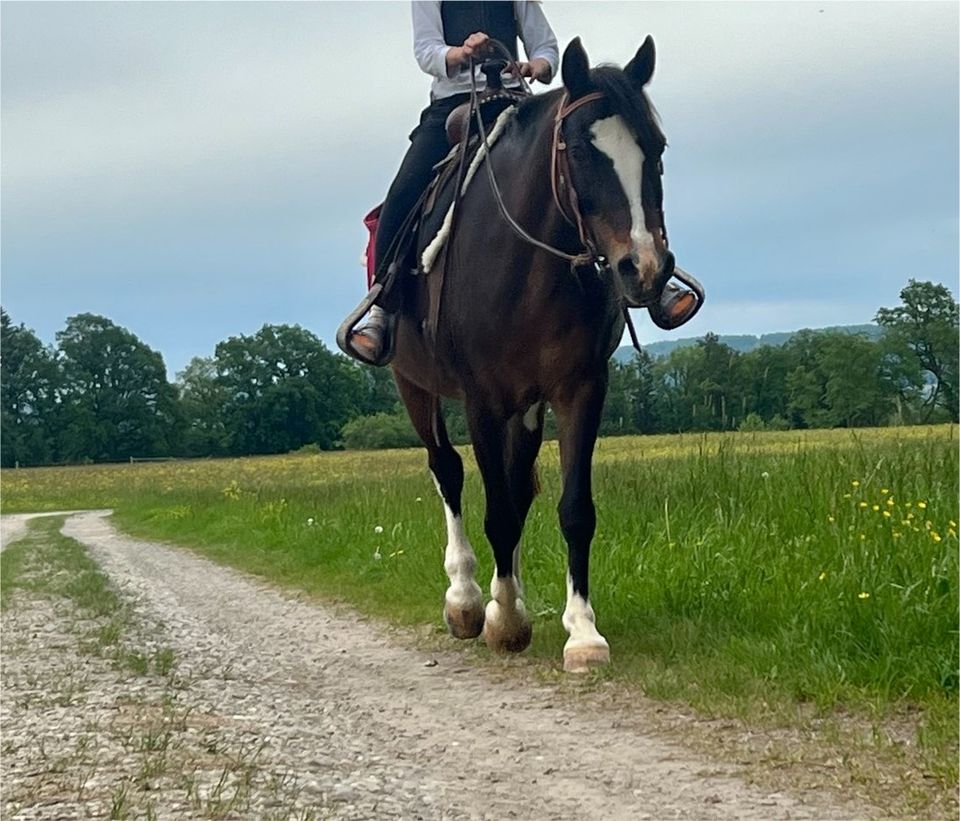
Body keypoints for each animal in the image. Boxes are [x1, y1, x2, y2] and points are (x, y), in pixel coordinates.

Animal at [390, 35, 676, 668]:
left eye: (656, 148)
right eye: (581, 151)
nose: (643, 268)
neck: (526, 263)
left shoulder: (578, 389)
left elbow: (570, 509)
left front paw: (582, 632)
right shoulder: (482, 398)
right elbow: (494, 507)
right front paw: (502, 619)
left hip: (525, 405)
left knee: (519, 487)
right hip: (415, 385)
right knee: (448, 472)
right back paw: (467, 598)